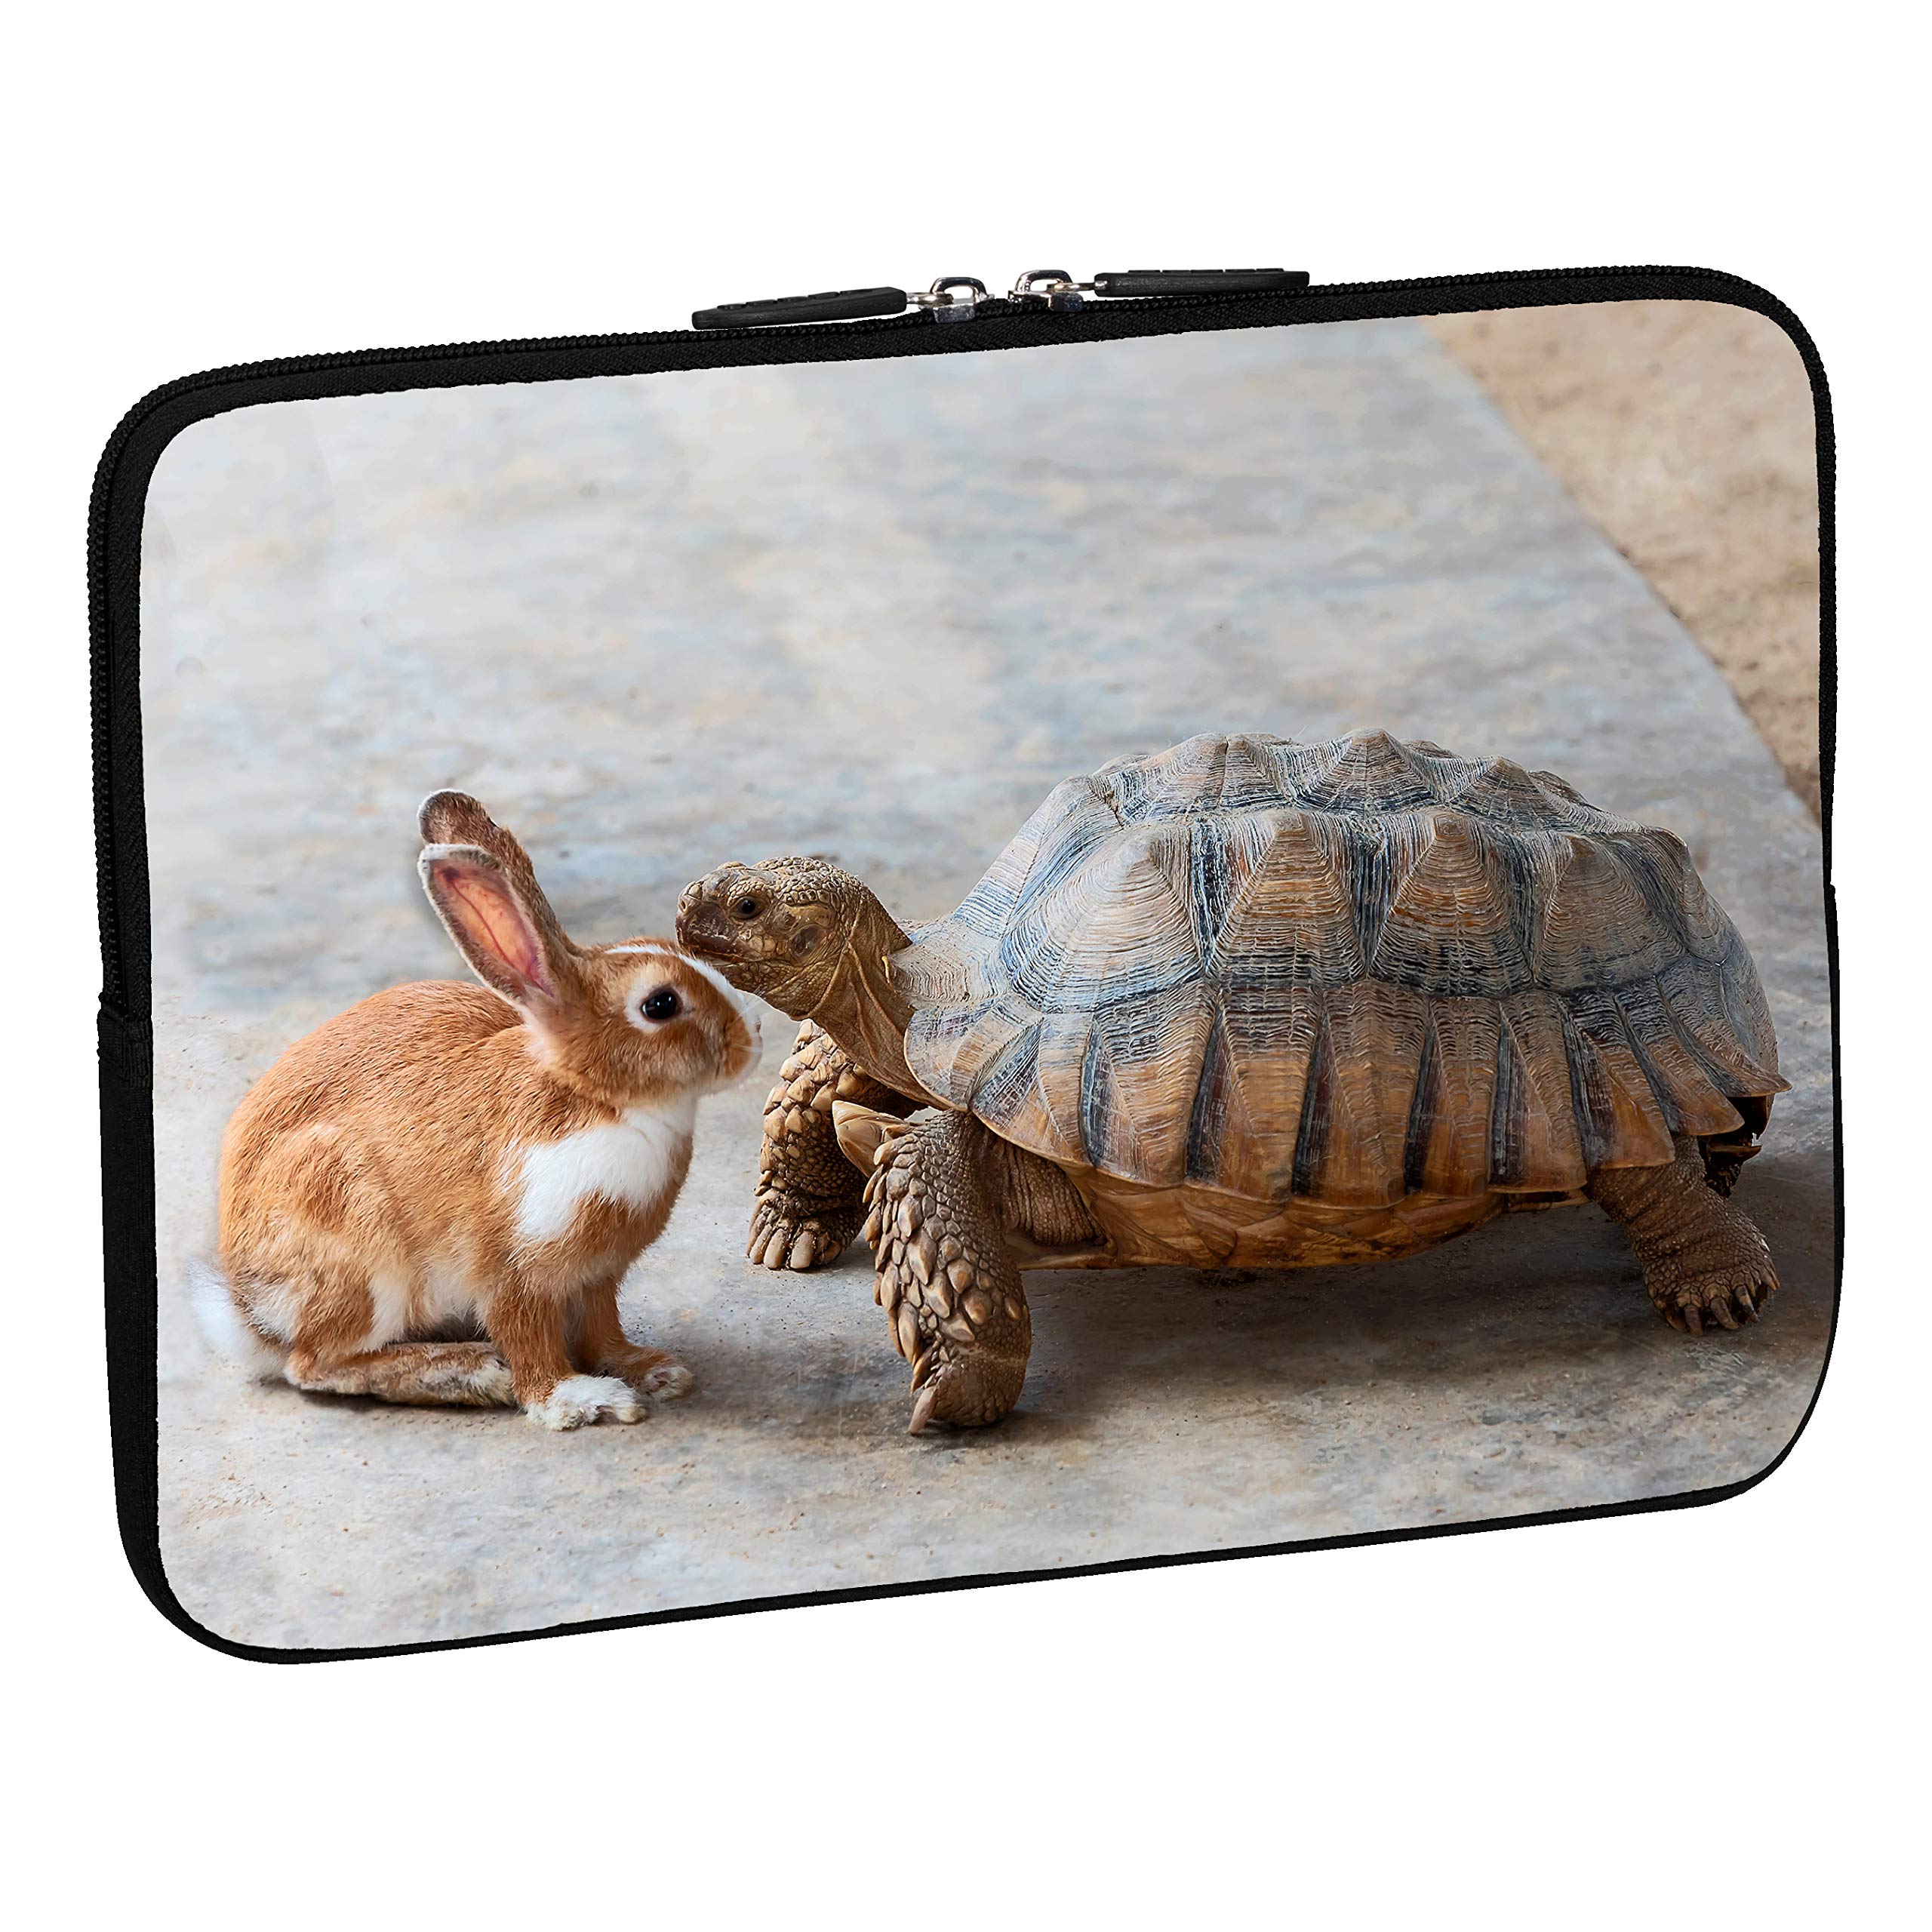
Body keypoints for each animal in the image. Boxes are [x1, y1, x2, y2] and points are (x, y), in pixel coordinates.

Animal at [195, 791, 760, 1429]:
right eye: (660, 1004)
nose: (753, 1040)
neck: (598, 1100)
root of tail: (246, 1311)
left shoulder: (598, 1276)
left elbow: (603, 1330)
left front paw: (653, 1370)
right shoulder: (511, 1269)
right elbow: (530, 1343)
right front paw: (578, 1400)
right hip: (359, 1250)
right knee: (315, 1363)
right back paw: (469, 1373)